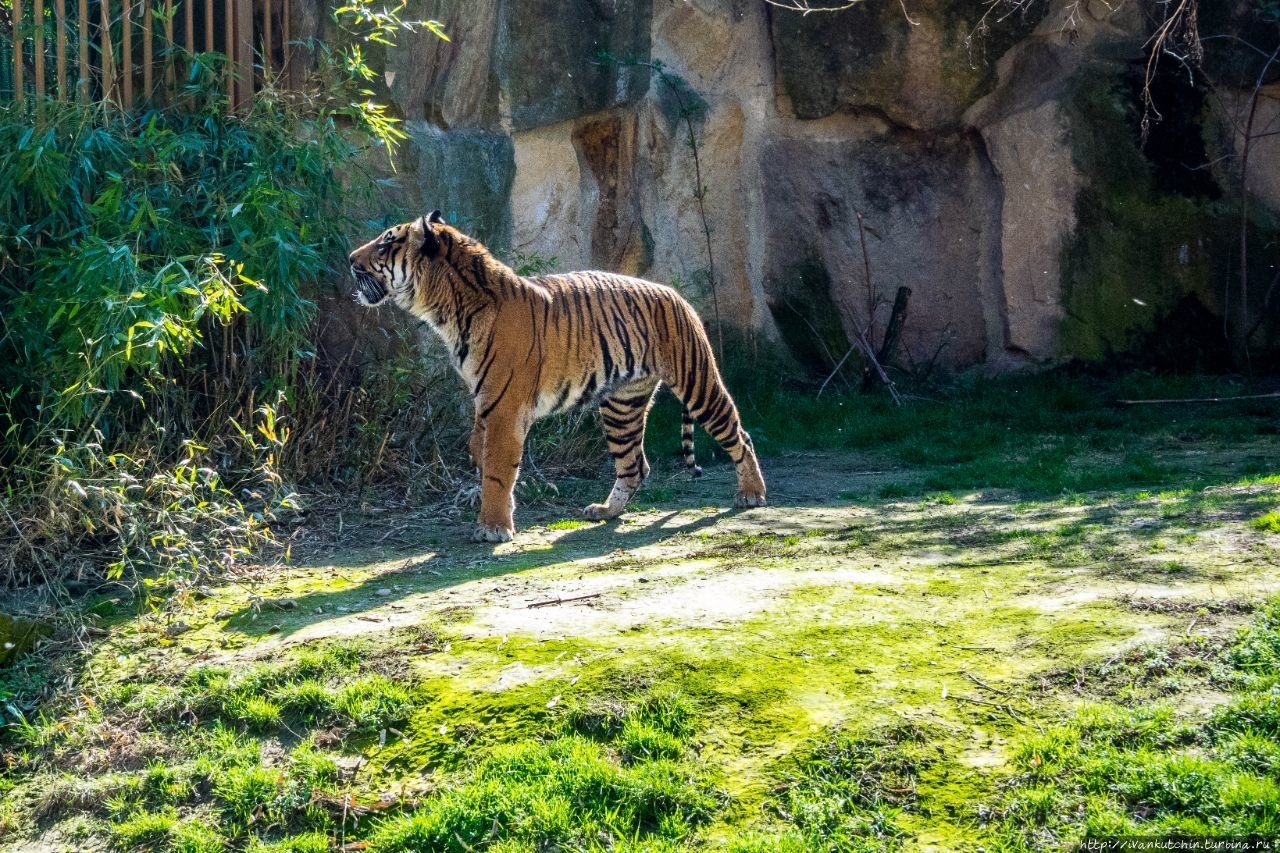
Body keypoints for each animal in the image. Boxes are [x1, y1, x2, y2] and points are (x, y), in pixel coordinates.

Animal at [350, 212, 762, 540]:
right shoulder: (485, 400)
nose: (350, 259)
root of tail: (675, 293)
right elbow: (479, 450)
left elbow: (498, 467)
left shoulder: (504, 406)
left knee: (738, 433)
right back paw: (605, 511)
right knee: (634, 465)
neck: (446, 311)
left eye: (387, 242)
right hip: (621, 406)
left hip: (697, 381)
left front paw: (492, 528)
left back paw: (752, 494)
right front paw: (486, 497)